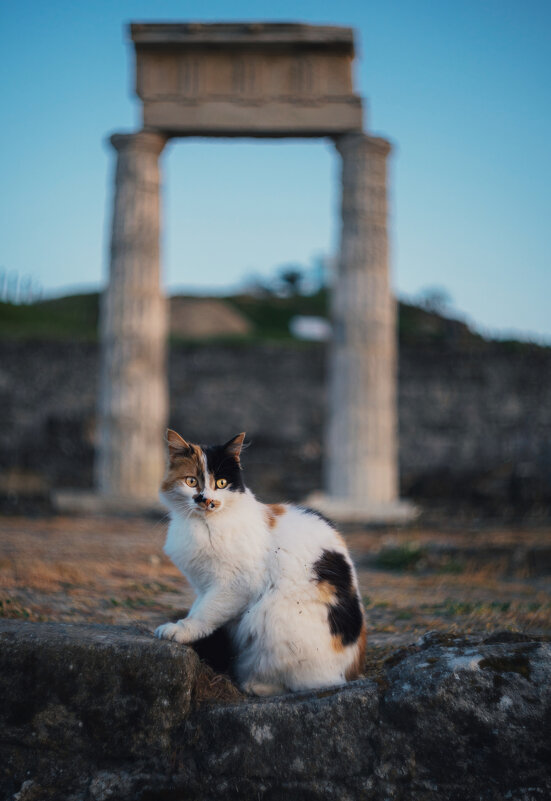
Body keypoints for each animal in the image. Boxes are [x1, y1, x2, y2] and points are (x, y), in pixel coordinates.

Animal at [155, 424, 368, 692]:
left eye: (221, 483)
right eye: (191, 481)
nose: (207, 500)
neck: (203, 525)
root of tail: (349, 673)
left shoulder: (236, 584)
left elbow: (204, 613)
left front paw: (180, 630)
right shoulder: (203, 585)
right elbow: (199, 606)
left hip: (272, 620)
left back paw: (254, 684)